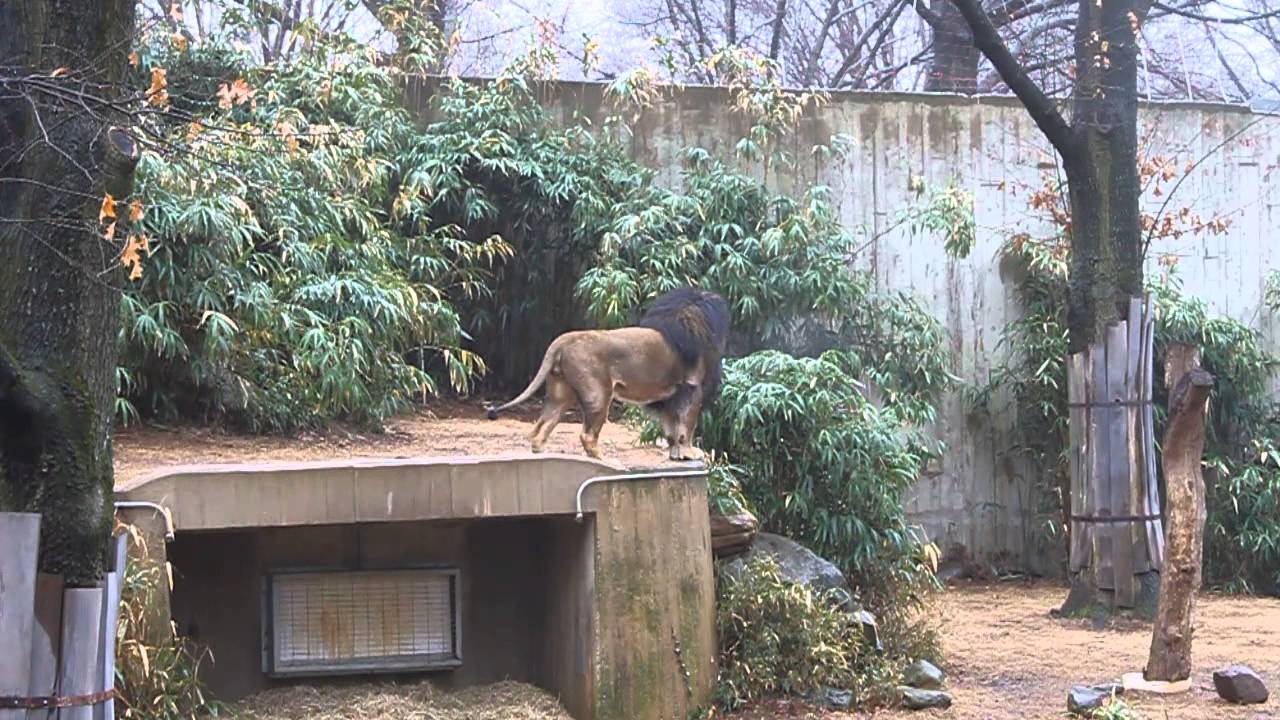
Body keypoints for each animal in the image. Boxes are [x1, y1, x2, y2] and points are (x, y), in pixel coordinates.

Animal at [485, 287, 730, 461]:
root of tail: (564, 339)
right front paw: (689, 452)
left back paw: (541, 451)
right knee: (586, 434)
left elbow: (671, 428)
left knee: (541, 425)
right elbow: (686, 426)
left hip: (560, 394)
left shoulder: (669, 398)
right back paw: (604, 459)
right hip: (599, 395)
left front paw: (676, 454)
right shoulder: (693, 389)